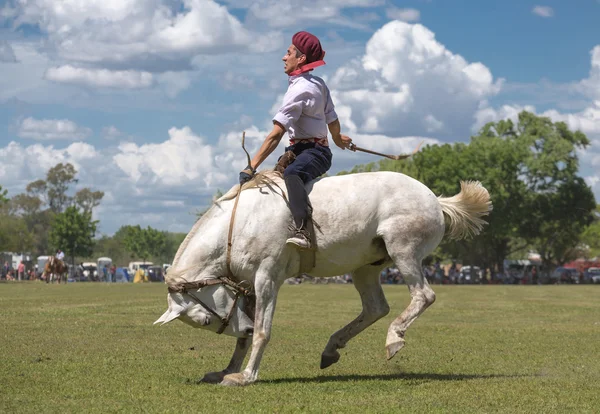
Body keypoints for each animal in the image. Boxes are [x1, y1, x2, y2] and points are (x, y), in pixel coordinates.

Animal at [156, 170, 492, 386]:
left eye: (204, 320)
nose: (245, 327)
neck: (239, 225)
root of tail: (436, 200)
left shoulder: (267, 279)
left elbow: (263, 330)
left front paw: (245, 377)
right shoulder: (247, 286)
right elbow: (244, 338)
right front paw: (227, 371)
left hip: (404, 251)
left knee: (422, 295)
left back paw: (393, 338)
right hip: (365, 268)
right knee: (375, 307)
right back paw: (332, 348)